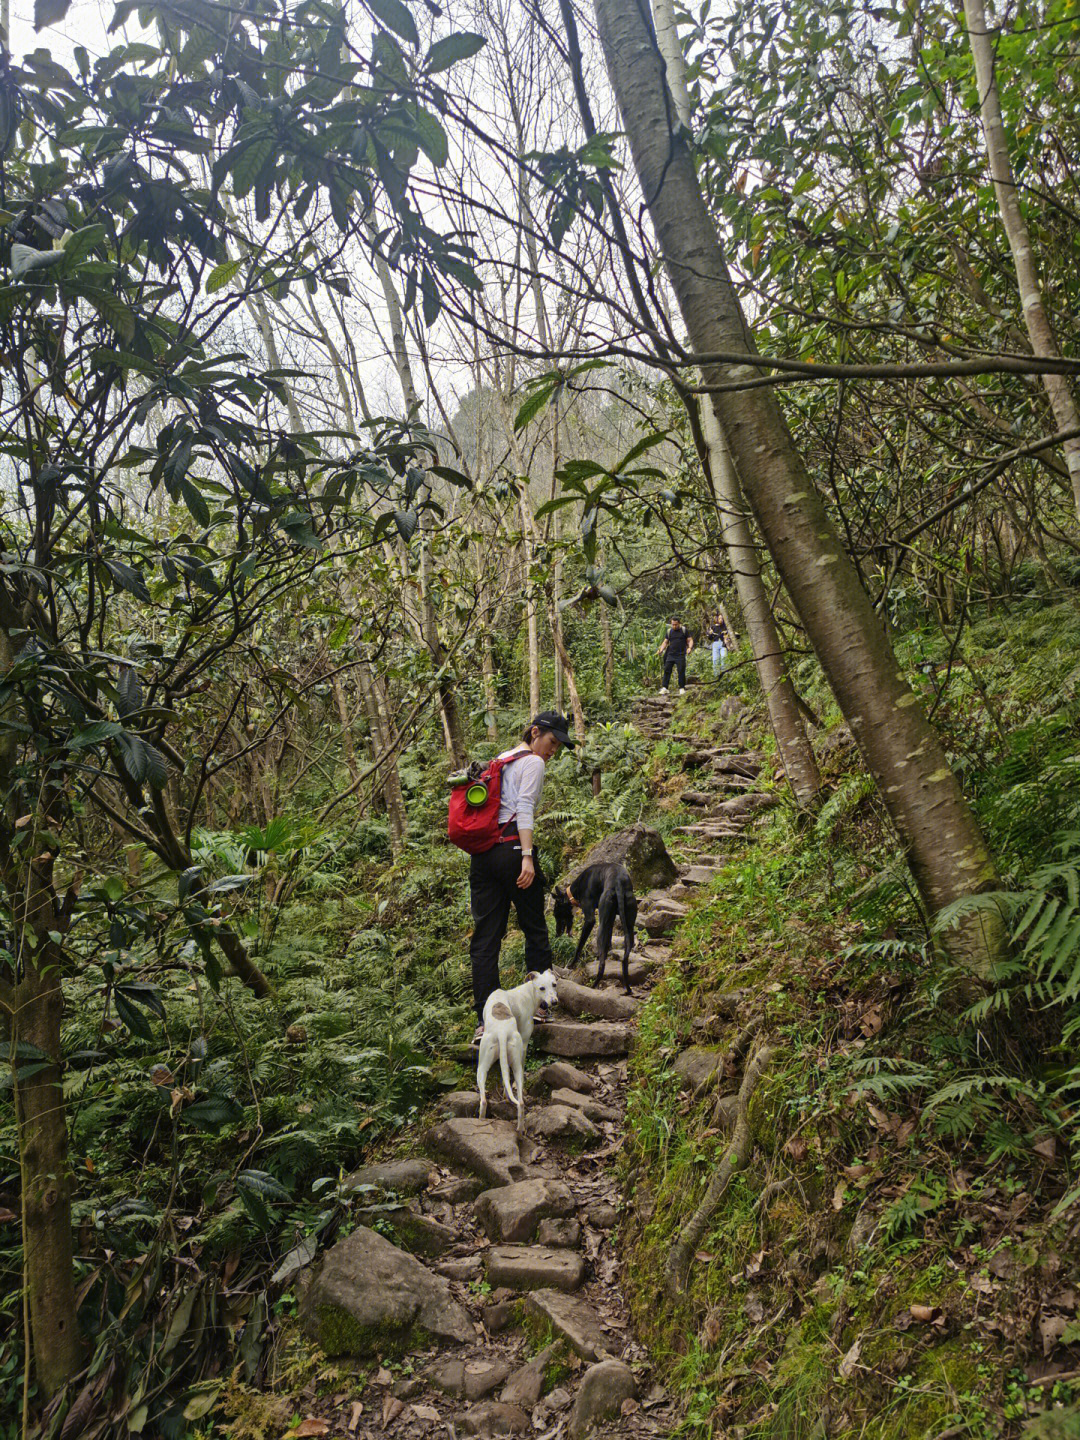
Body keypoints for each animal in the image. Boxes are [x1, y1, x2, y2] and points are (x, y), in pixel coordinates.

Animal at [478, 973, 558, 1128]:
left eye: (554, 984)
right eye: (542, 988)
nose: (554, 1002)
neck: (527, 992)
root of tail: (502, 1032)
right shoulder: (524, 1045)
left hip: (484, 1065)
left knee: (485, 1100)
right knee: (519, 1103)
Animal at [567, 858, 633, 996]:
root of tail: (618, 882)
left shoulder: (590, 919)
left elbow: (580, 944)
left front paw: (572, 963)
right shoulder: (611, 918)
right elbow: (609, 939)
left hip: (600, 929)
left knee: (602, 963)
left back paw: (593, 985)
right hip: (629, 926)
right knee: (625, 958)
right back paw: (628, 989)